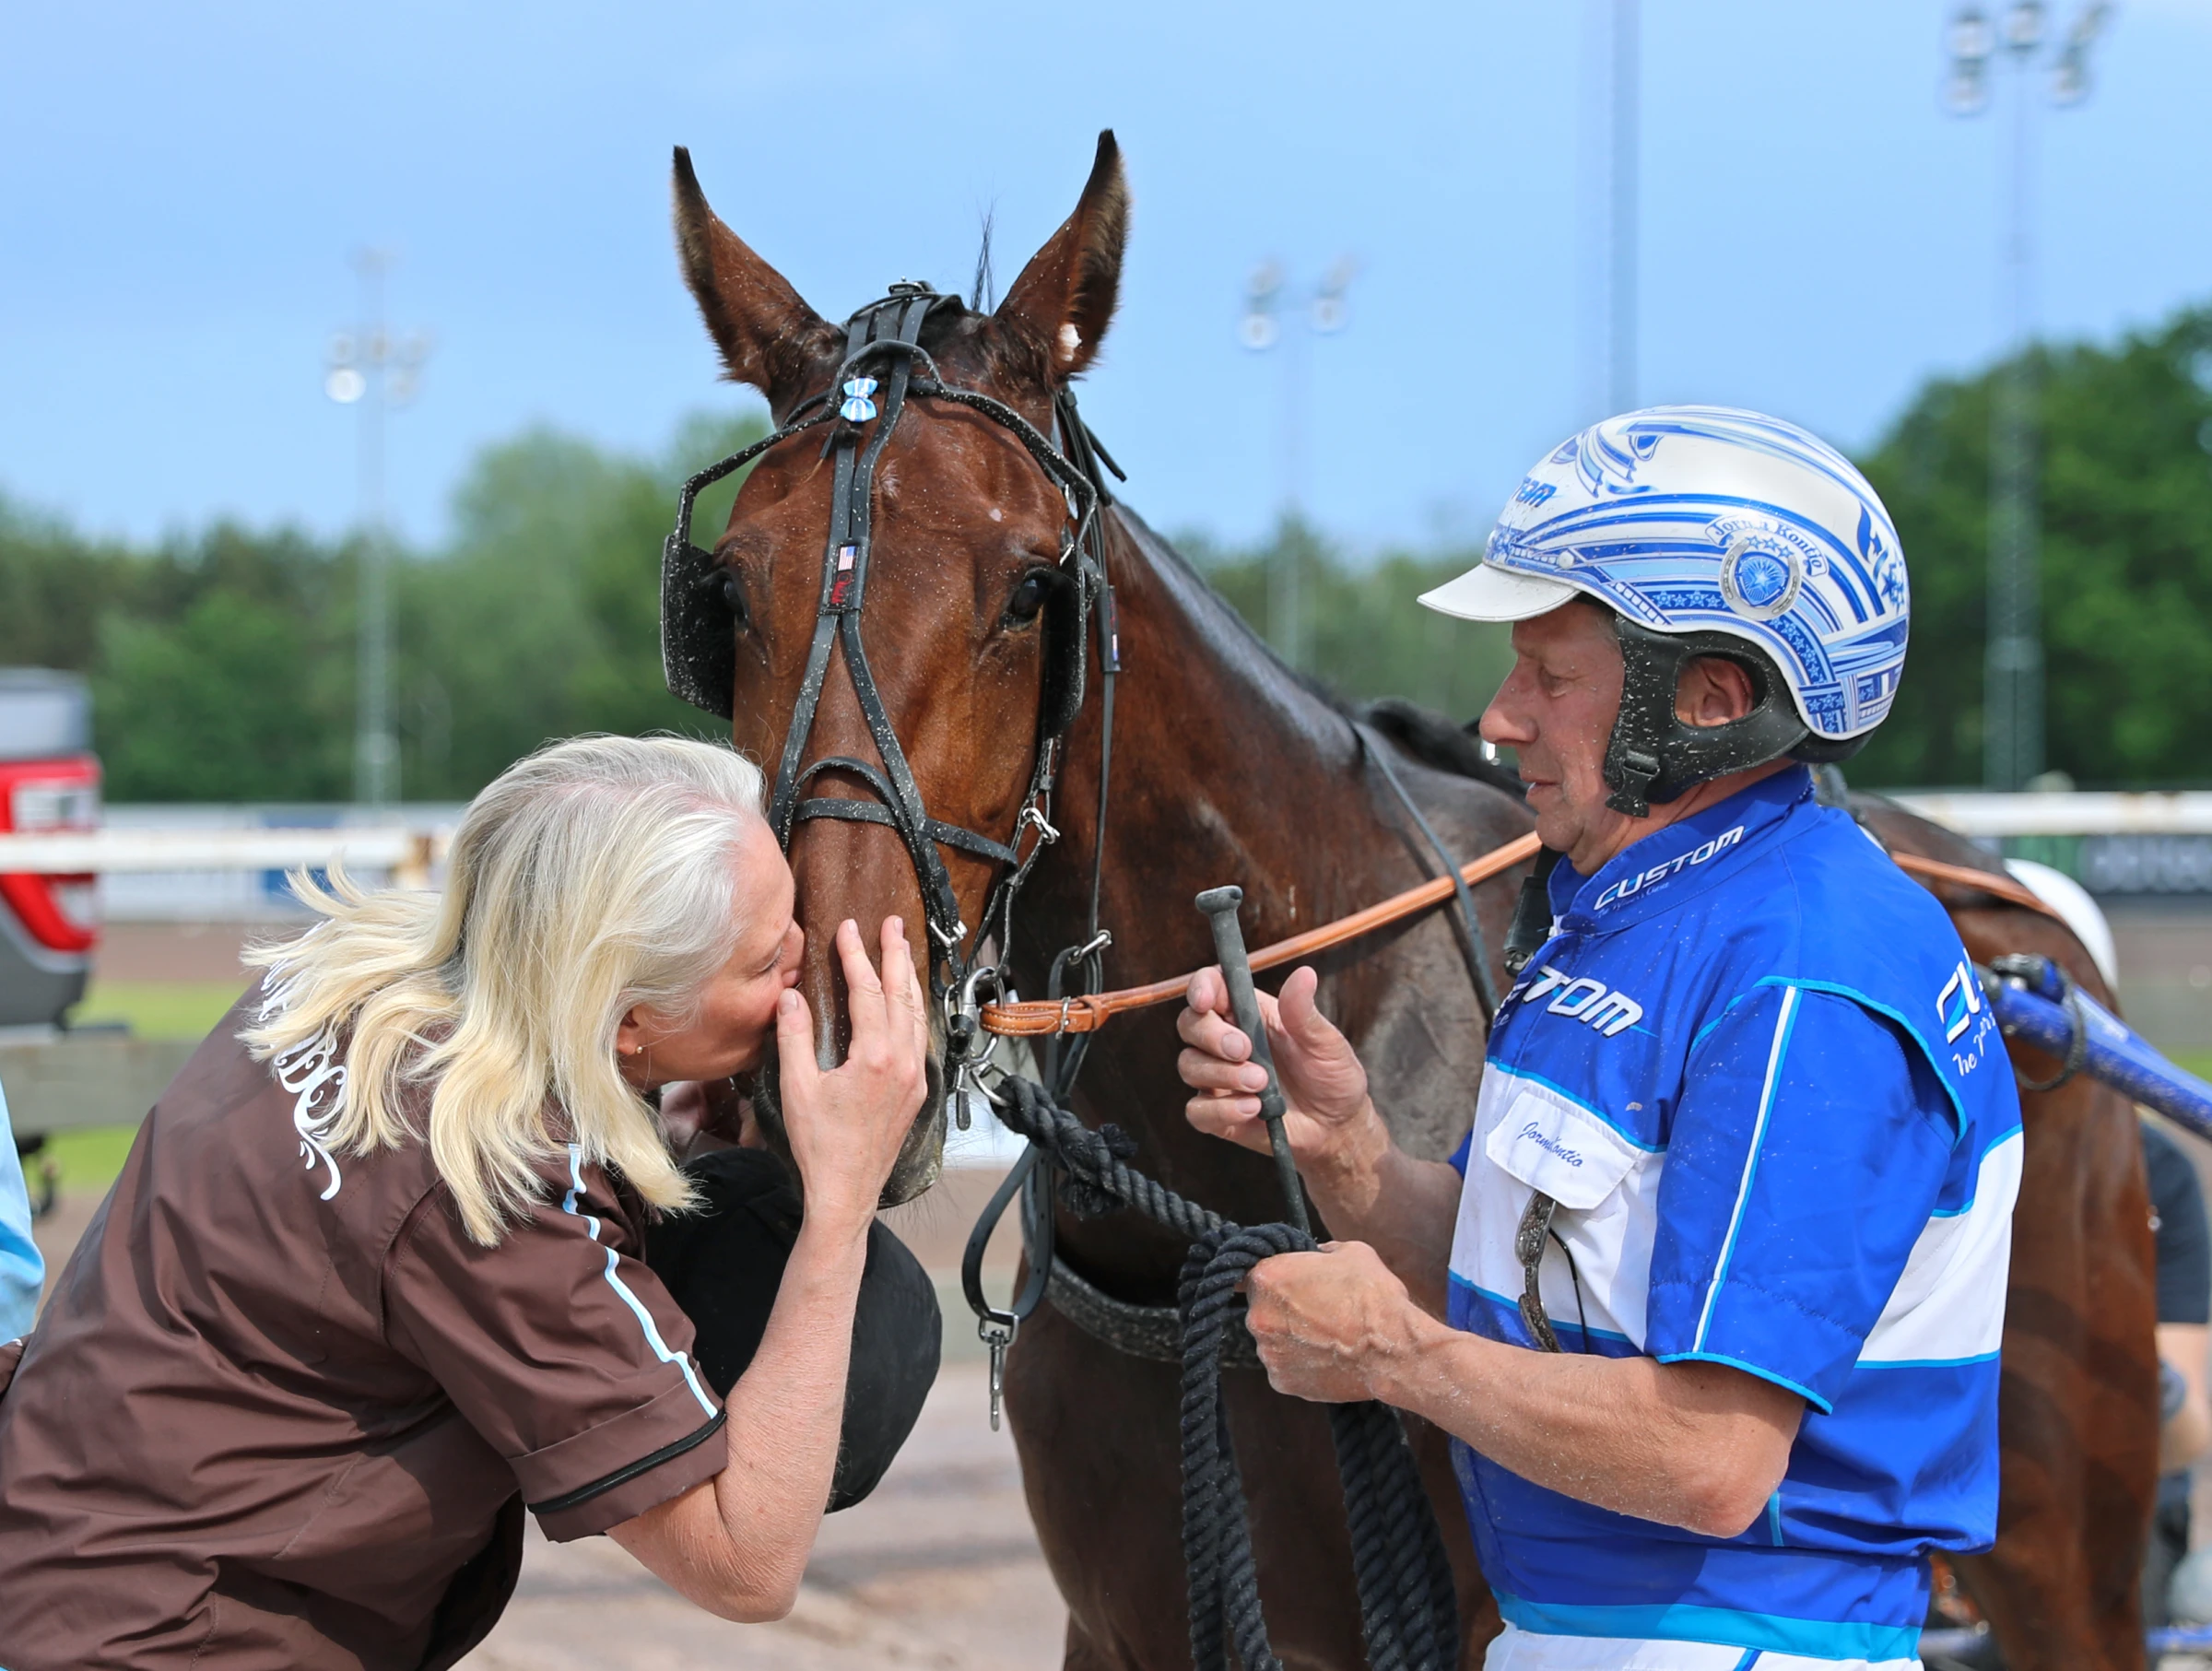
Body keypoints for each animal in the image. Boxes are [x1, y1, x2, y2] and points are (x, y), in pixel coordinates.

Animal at [664, 130, 2149, 1671]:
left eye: (1028, 589)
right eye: (727, 597)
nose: (835, 1047)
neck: (1195, 1228)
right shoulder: (1125, 1620)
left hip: (2067, 1551)